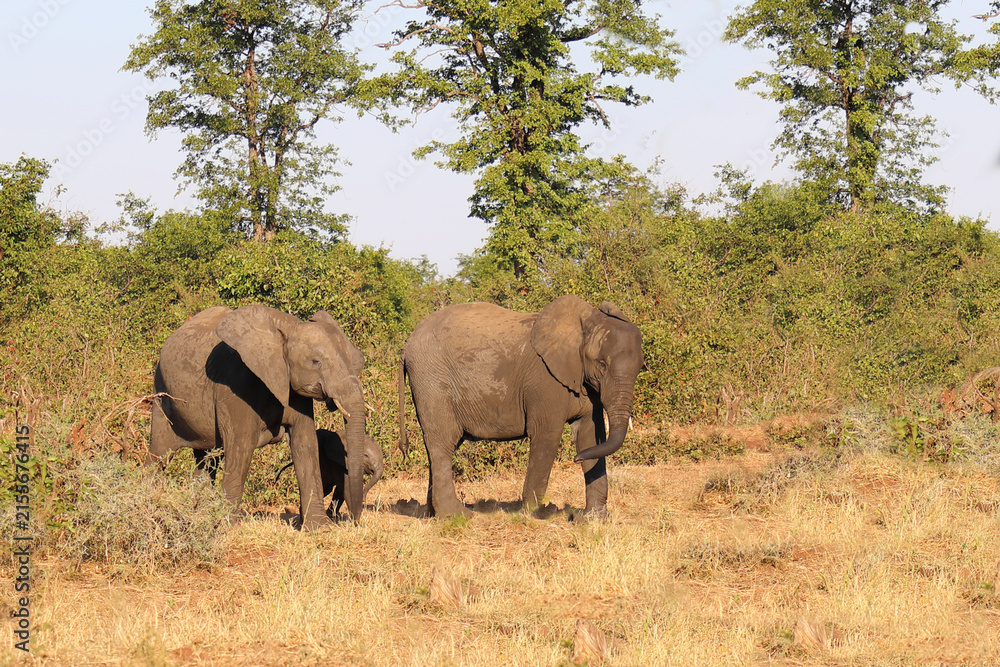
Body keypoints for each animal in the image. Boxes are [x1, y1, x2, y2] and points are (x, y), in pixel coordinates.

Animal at [148, 304, 370, 528]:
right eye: (316, 362)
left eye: (356, 362)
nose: (354, 520)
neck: (289, 329)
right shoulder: (235, 385)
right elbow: (241, 447)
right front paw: (229, 526)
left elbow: (305, 445)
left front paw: (320, 528)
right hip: (161, 394)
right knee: (159, 455)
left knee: (206, 461)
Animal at [398, 294, 644, 518]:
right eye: (602, 365)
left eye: (640, 368)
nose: (576, 458)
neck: (584, 322)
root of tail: (407, 345)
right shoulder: (545, 382)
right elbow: (546, 436)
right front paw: (534, 515)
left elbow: (591, 437)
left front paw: (594, 519)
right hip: (432, 382)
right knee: (443, 443)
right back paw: (457, 516)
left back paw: (432, 515)